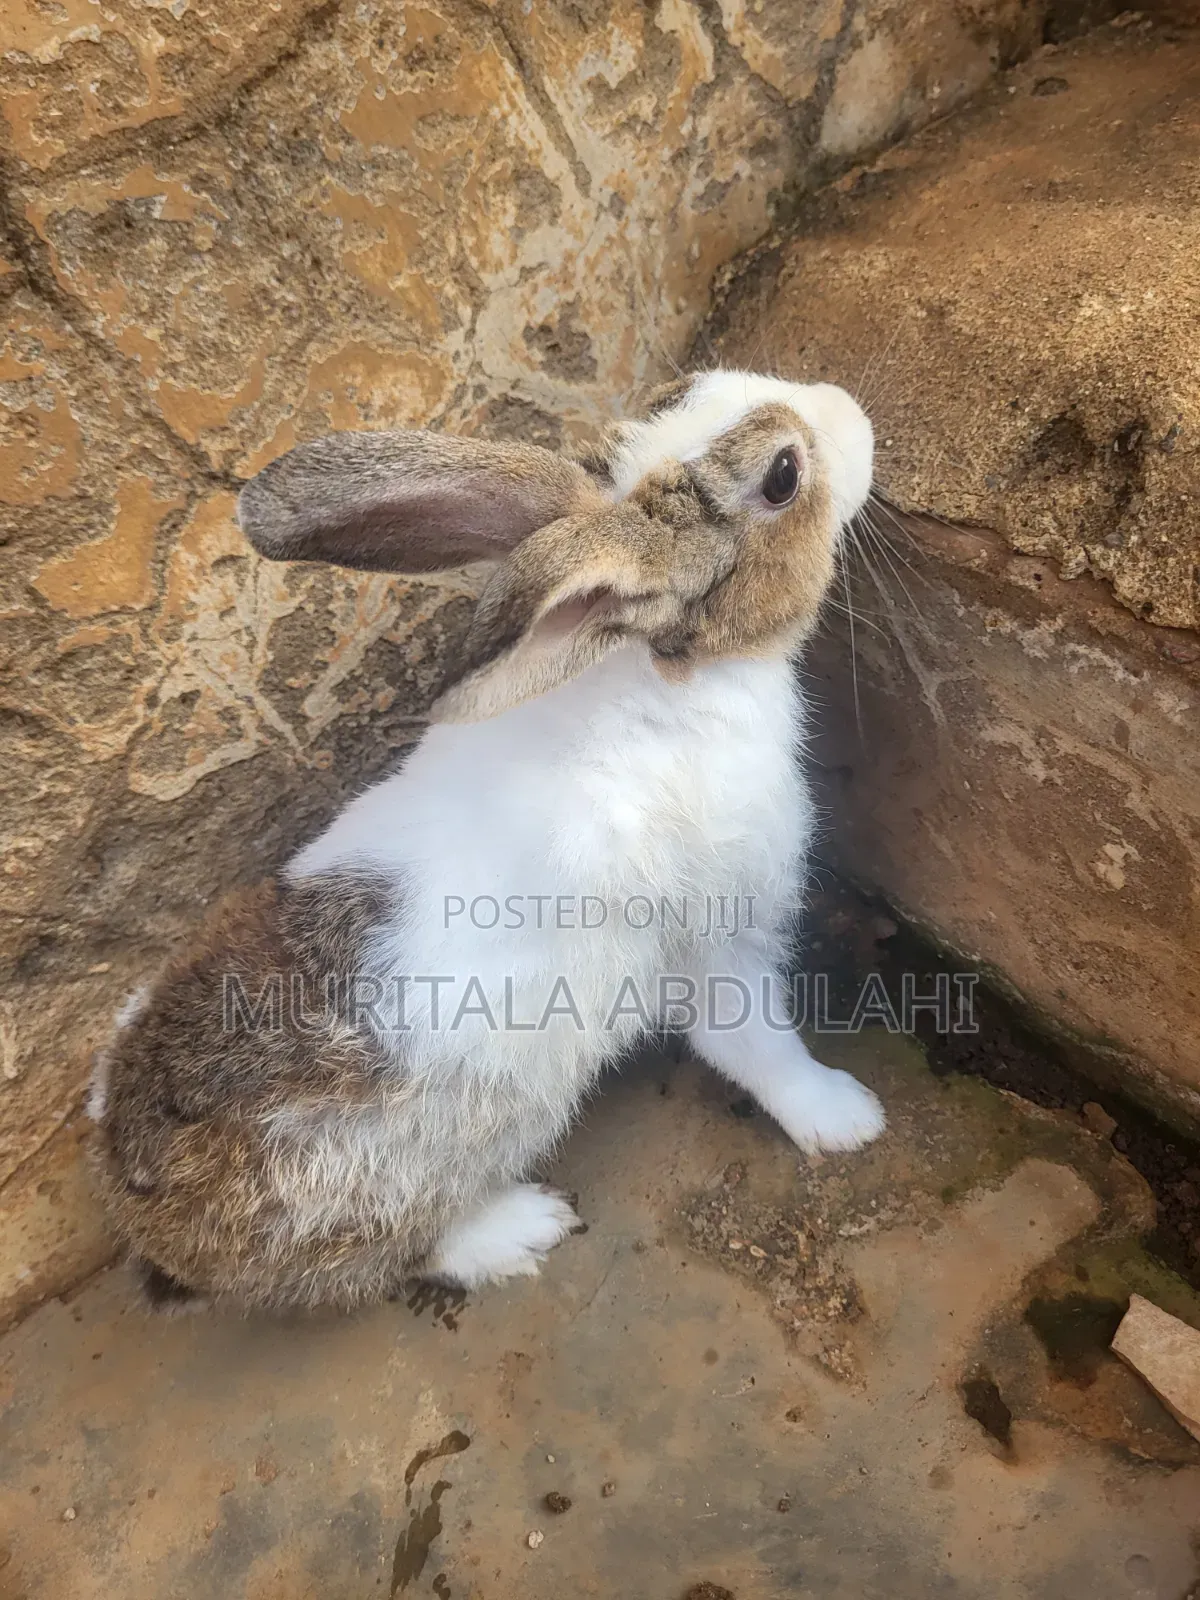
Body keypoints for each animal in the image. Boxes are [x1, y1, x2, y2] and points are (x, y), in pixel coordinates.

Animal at [89, 369, 885, 1313]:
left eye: (689, 385)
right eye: (783, 478)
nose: (852, 409)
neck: (654, 673)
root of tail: (140, 1212)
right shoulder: (718, 937)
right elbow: (758, 1045)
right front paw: (846, 1118)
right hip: (390, 1190)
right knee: (393, 1255)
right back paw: (521, 1228)